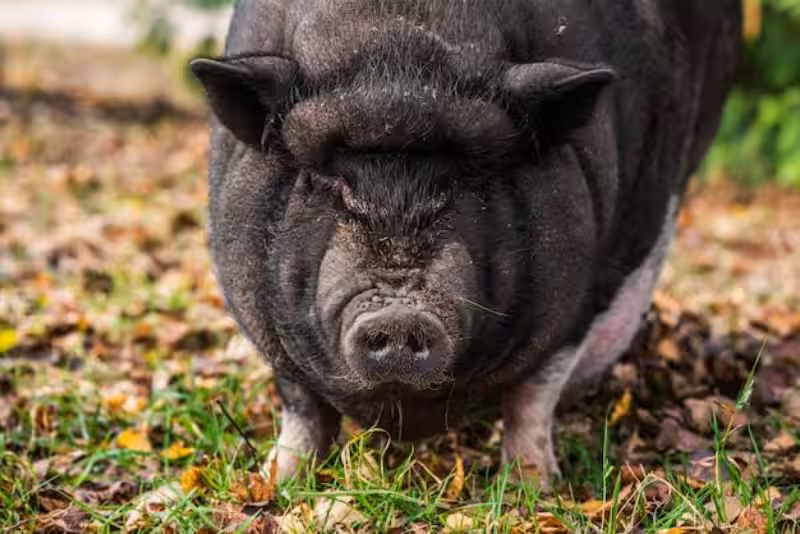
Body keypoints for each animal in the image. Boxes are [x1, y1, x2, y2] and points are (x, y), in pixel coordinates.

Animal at [190, 0, 742, 487]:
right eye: (334, 181)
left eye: (463, 182)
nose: (399, 315)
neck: (398, 44)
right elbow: (302, 406)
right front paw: (275, 484)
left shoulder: (583, 295)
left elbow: (532, 397)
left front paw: (534, 490)